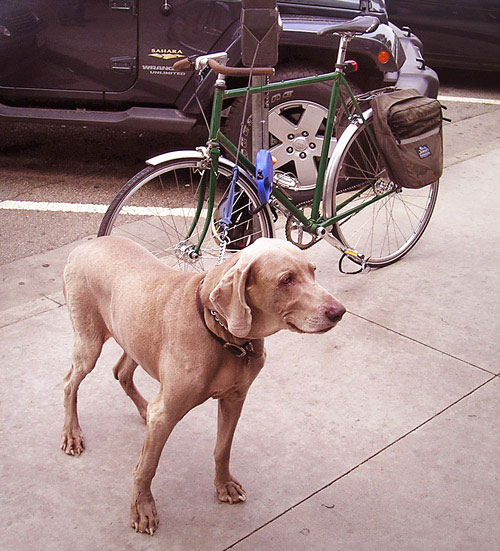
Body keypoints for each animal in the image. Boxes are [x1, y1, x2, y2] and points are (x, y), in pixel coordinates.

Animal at [60, 236, 346, 536]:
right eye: (286, 280)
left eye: (313, 271)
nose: (339, 311)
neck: (221, 333)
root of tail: (85, 245)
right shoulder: (166, 413)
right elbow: (147, 466)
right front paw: (143, 508)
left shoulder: (235, 398)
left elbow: (223, 448)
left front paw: (225, 486)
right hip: (89, 341)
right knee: (70, 383)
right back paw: (72, 434)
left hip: (133, 336)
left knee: (121, 372)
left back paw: (141, 409)